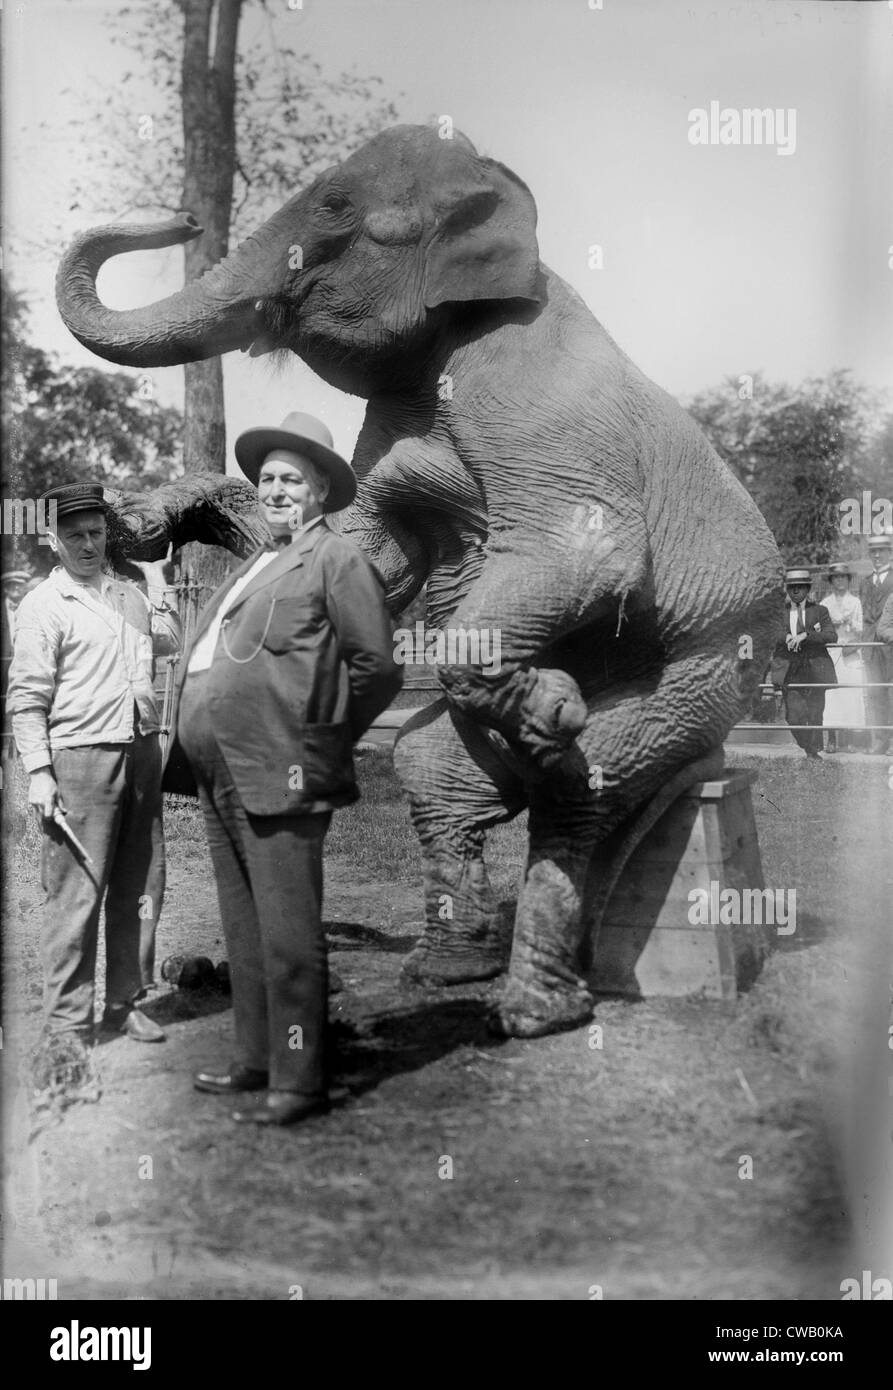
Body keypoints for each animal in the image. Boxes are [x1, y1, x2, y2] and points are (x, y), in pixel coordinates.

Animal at [55, 122, 778, 1034]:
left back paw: (535, 1000)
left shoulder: (531, 391)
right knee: (432, 767)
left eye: (334, 204)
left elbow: (587, 553)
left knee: (587, 782)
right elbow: (371, 557)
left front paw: (550, 704)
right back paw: (449, 971)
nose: (183, 219)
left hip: (706, 671)